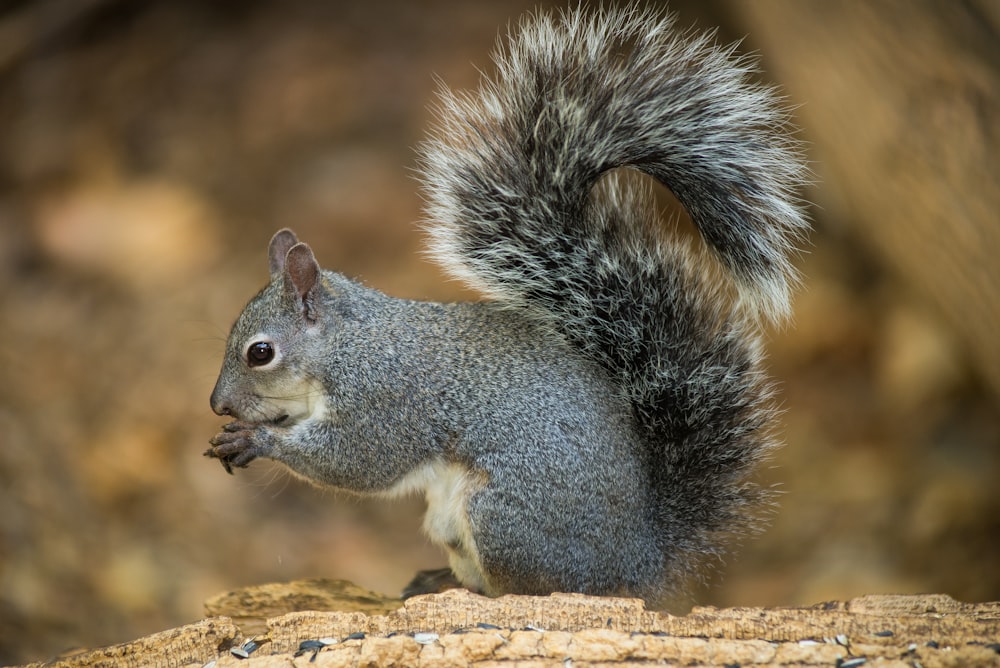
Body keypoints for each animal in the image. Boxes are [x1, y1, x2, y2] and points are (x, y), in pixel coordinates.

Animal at [207, 3, 808, 604]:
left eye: (260, 352)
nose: (217, 405)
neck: (348, 345)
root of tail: (638, 563)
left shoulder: (386, 400)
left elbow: (359, 460)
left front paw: (257, 439)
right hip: (451, 521)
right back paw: (437, 580)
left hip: (502, 517)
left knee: (534, 589)